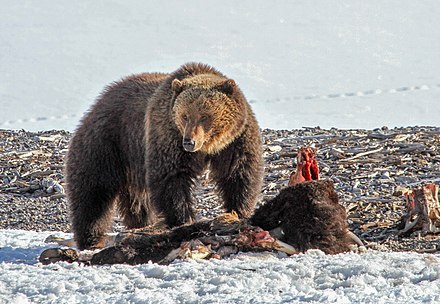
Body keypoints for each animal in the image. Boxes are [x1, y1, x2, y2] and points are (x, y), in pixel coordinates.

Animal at [65, 61, 262, 249]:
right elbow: (171, 178)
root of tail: (98, 102)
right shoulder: (167, 135)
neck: (209, 147)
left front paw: (237, 211)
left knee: (137, 203)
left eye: (204, 116)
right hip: (108, 143)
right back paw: (91, 239)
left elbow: (239, 173)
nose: (189, 142)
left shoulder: (236, 140)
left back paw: (141, 224)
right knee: (93, 192)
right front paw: (183, 220)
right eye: (185, 116)